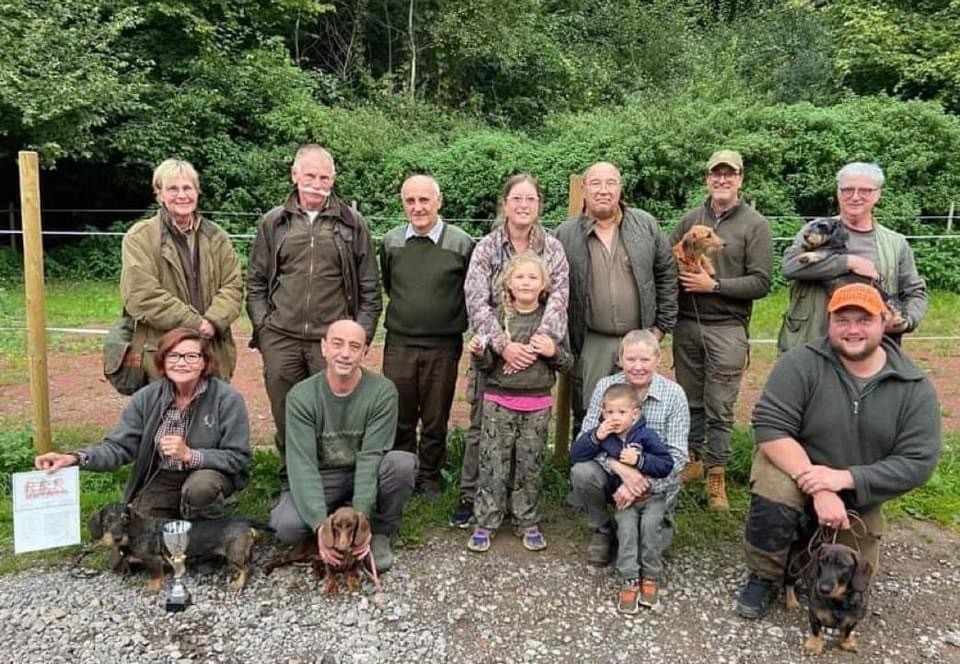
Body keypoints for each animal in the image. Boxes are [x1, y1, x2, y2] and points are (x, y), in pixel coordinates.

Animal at [87, 506, 266, 592]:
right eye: (107, 521)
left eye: (125, 519)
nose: (117, 538)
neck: (133, 535)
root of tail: (245, 522)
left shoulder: (154, 560)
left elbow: (155, 576)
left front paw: (152, 588)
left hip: (235, 554)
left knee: (247, 569)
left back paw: (238, 584)